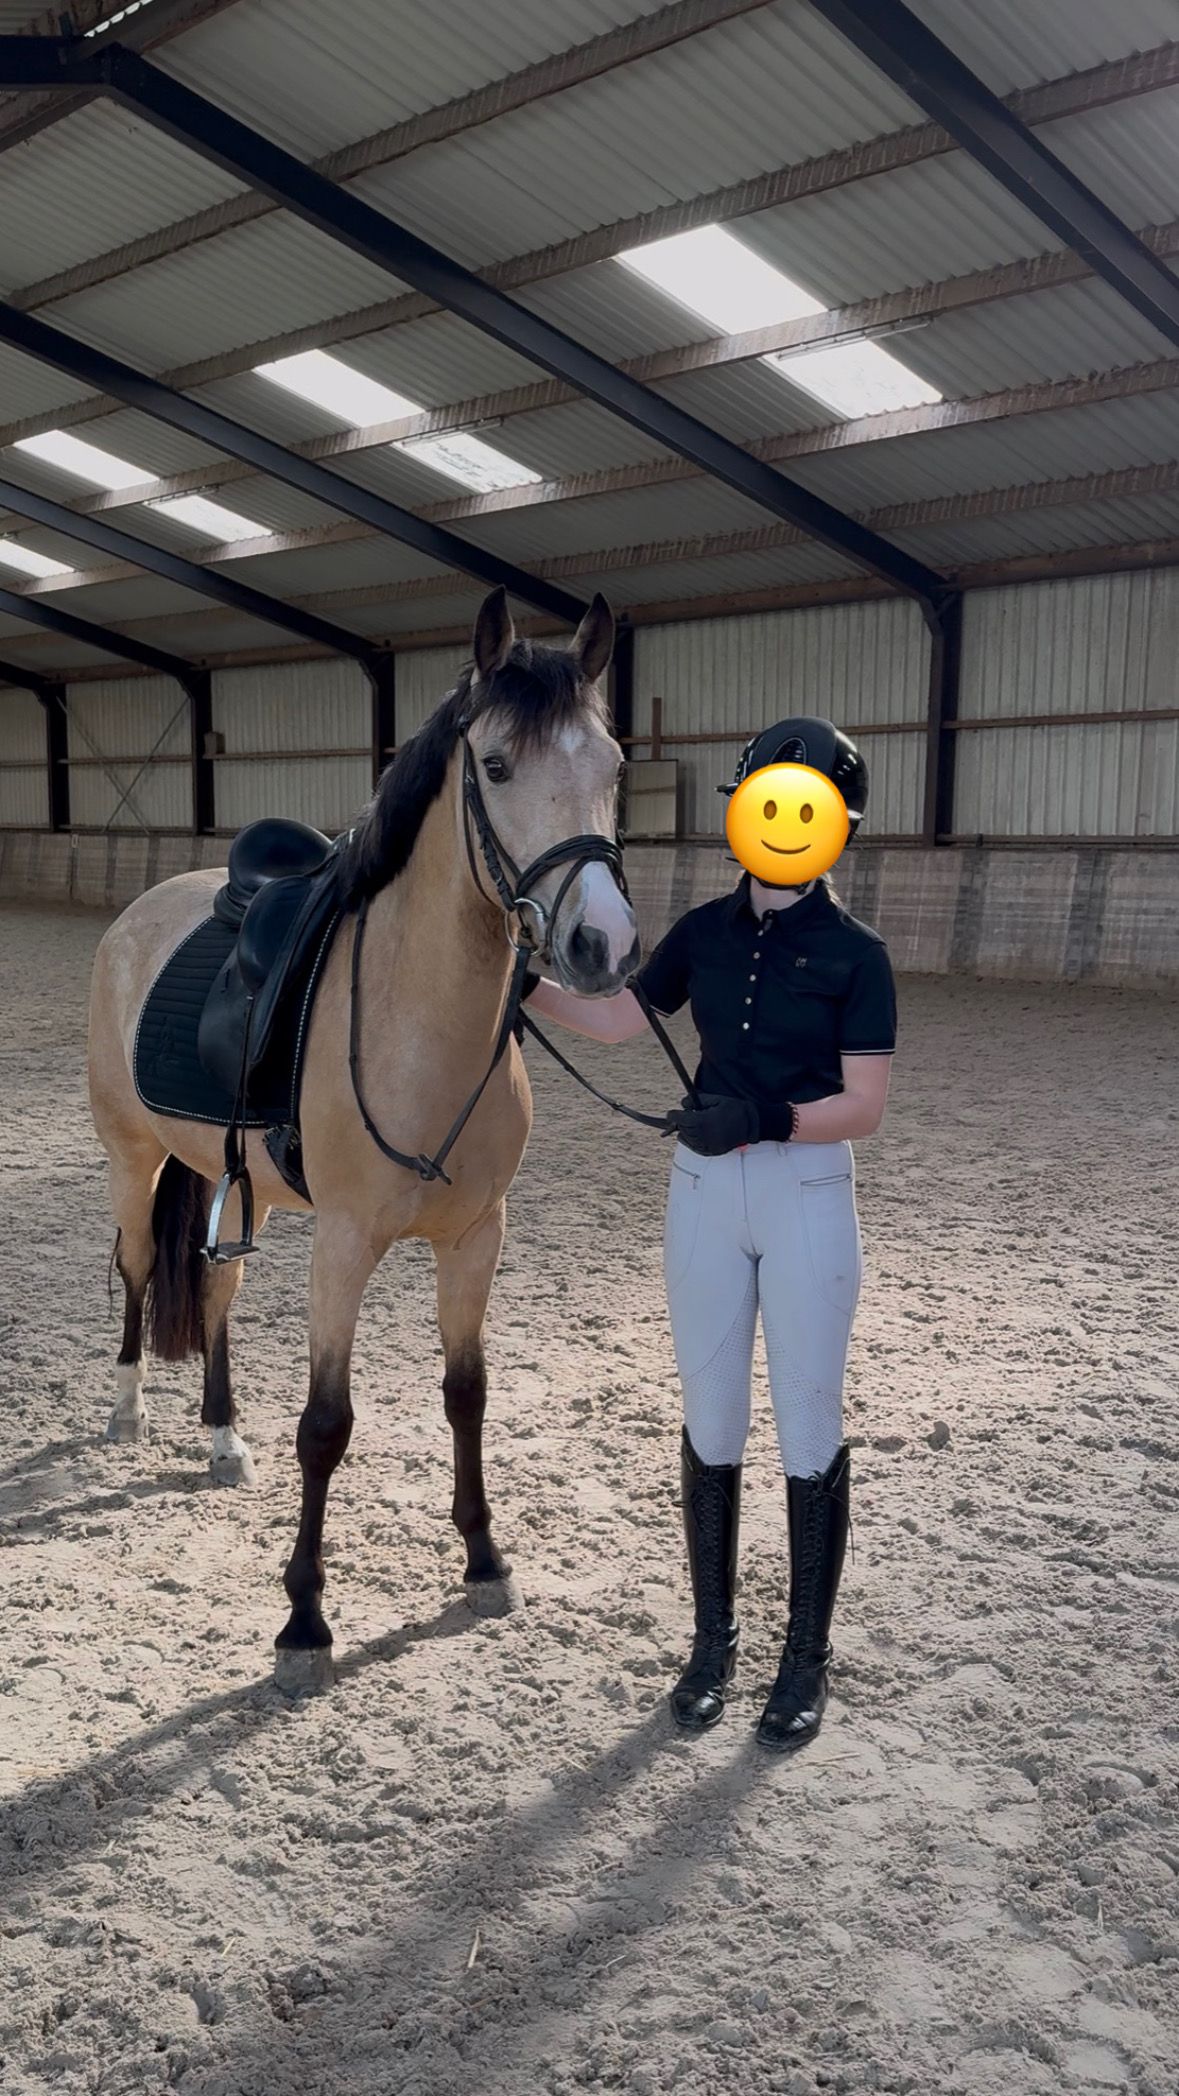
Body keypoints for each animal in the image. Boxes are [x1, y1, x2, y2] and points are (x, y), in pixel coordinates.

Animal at [86, 588, 638, 1690]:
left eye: (611, 765)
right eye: (497, 766)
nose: (602, 946)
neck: (414, 1018)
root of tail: (143, 910)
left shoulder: (475, 1237)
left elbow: (466, 1393)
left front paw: (482, 1560)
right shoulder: (344, 1243)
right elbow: (326, 1425)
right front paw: (304, 1617)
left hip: (234, 1183)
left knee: (213, 1289)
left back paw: (221, 1440)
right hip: (134, 1157)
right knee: (136, 1268)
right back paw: (130, 1408)